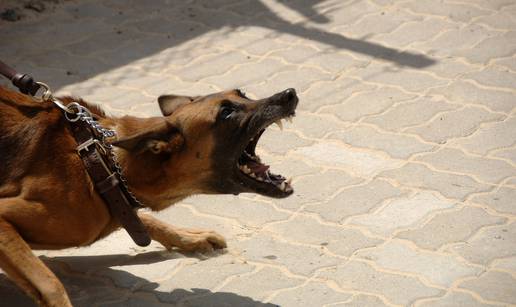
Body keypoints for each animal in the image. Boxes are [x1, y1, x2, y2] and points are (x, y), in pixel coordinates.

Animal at [0, 85, 298, 306]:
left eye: (243, 94)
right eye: (226, 112)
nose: (289, 94)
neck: (100, 162)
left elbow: (144, 219)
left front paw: (187, 237)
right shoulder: (4, 218)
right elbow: (50, 284)